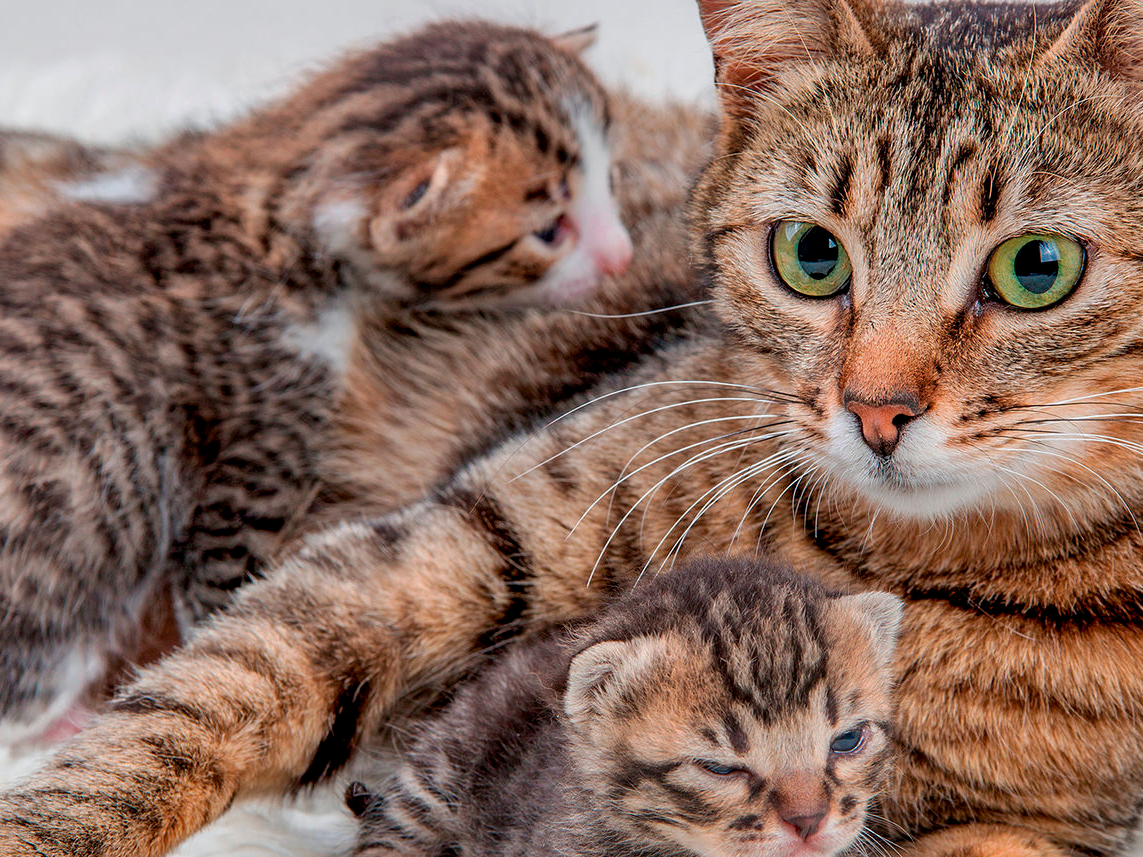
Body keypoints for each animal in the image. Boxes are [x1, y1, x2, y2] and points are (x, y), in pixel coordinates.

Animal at [0, 18, 644, 745]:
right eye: (549, 231)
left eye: (612, 179)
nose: (623, 256)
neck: (266, 193)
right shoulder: (260, 436)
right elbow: (221, 596)